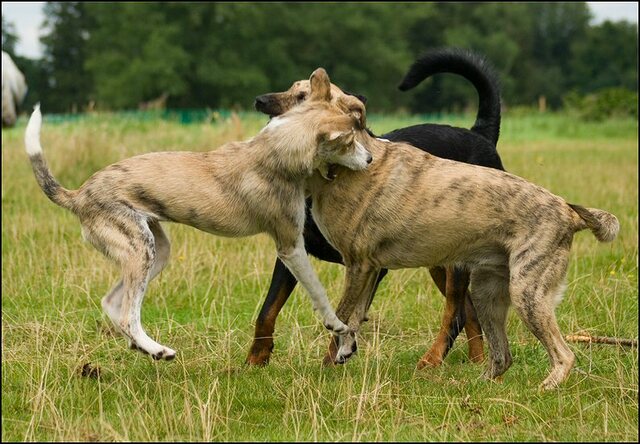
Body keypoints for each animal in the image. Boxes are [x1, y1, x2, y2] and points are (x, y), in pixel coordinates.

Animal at [25, 68, 370, 360]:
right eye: (349, 141)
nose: (369, 160)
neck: (278, 147)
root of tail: (77, 194)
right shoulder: (291, 246)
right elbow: (319, 291)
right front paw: (337, 326)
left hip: (155, 250)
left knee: (113, 304)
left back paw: (145, 348)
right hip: (139, 248)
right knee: (126, 315)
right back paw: (158, 350)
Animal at [248, 48, 502, 368]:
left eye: (303, 96)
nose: (260, 100)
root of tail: (480, 134)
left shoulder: (371, 266)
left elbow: (345, 319)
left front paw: (330, 363)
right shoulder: (292, 250)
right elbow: (268, 309)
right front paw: (255, 360)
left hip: (456, 259)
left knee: (454, 312)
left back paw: (433, 360)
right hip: (438, 259)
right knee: (468, 313)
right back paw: (476, 362)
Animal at [308, 107, 616, 388]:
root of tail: (569, 213)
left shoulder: (358, 265)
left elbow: (341, 317)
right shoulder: (368, 268)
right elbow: (353, 317)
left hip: (526, 292)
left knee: (563, 355)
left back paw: (546, 387)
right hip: (486, 293)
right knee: (502, 356)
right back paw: (476, 385)